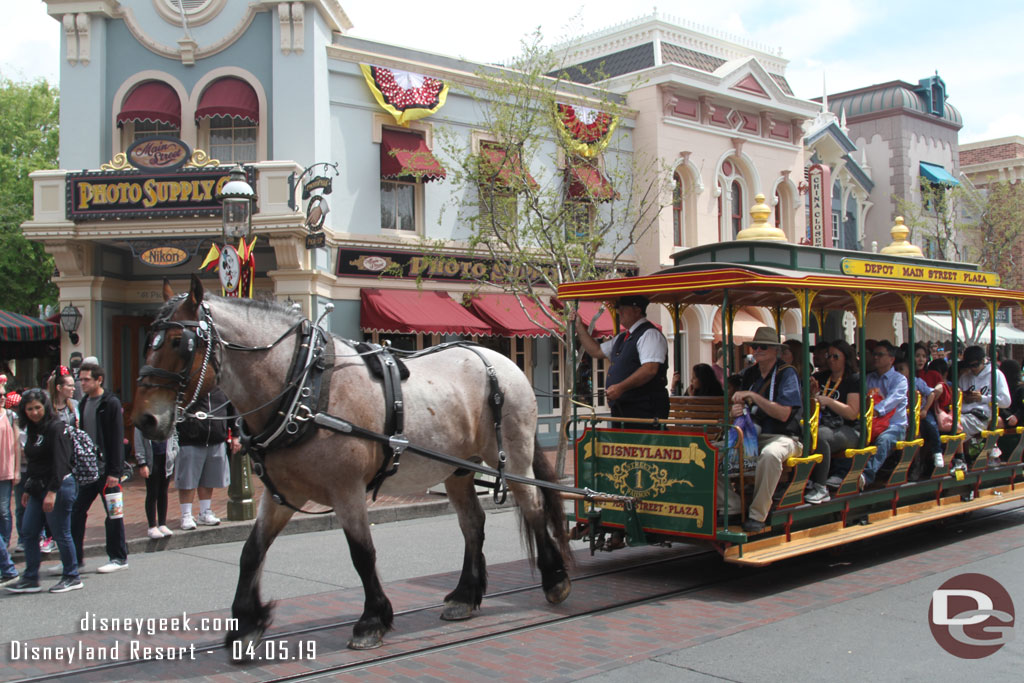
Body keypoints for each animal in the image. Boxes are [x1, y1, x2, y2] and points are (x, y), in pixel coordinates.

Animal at [132, 278, 573, 655]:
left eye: (180, 342)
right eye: (148, 341)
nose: (145, 421)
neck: (302, 389)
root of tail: (502, 362)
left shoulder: (346, 490)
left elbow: (362, 553)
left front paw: (371, 621)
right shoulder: (280, 494)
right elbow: (251, 552)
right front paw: (246, 625)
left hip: (512, 454)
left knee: (533, 507)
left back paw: (555, 580)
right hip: (458, 468)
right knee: (473, 524)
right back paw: (465, 596)